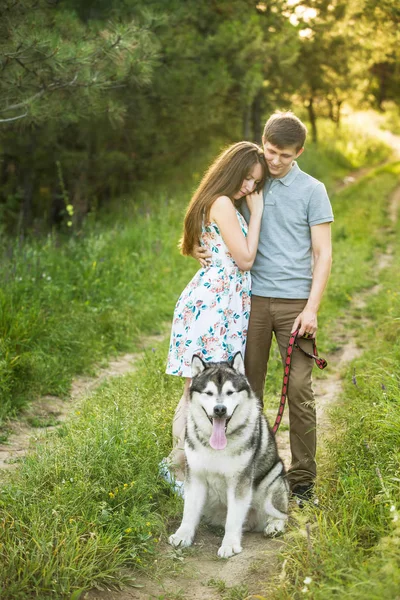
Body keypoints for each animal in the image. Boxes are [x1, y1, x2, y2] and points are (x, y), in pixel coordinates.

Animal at [167, 352, 290, 556]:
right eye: (209, 393)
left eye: (230, 392)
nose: (220, 409)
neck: (217, 446)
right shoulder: (195, 475)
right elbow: (189, 511)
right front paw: (183, 535)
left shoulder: (239, 481)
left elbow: (233, 518)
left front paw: (230, 544)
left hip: (274, 478)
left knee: (281, 512)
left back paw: (274, 525)